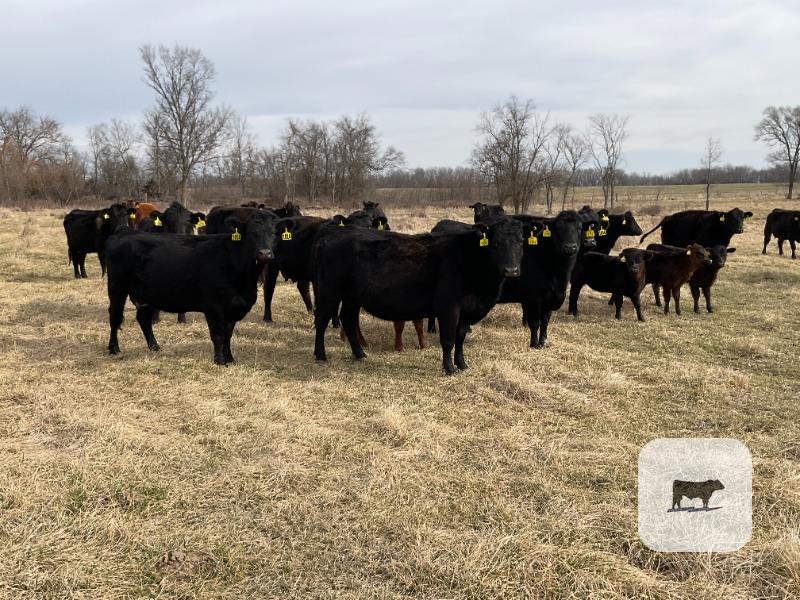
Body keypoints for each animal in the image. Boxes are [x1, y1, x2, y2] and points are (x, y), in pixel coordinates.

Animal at [105, 210, 278, 365]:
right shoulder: (213, 306)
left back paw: (154, 347)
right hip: (117, 287)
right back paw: (114, 348)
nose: (265, 254)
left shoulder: (235, 306)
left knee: (143, 318)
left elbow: (228, 334)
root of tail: (126, 231)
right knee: (115, 316)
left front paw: (230, 358)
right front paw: (220, 360)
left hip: (144, 293)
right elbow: (218, 334)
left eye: (273, 233)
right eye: (252, 233)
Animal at [311, 218, 524, 374]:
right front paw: (449, 369)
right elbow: (448, 340)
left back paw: (360, 354)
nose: (511, 270)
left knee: (348, 319)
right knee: (321, 320)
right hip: (329, 290)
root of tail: (331, 235)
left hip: (352, 297)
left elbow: (460, 337)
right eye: (495, 243)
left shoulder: (467, 310)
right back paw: (320, 355)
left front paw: (462, 364)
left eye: (521, 242)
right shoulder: (449, 307)